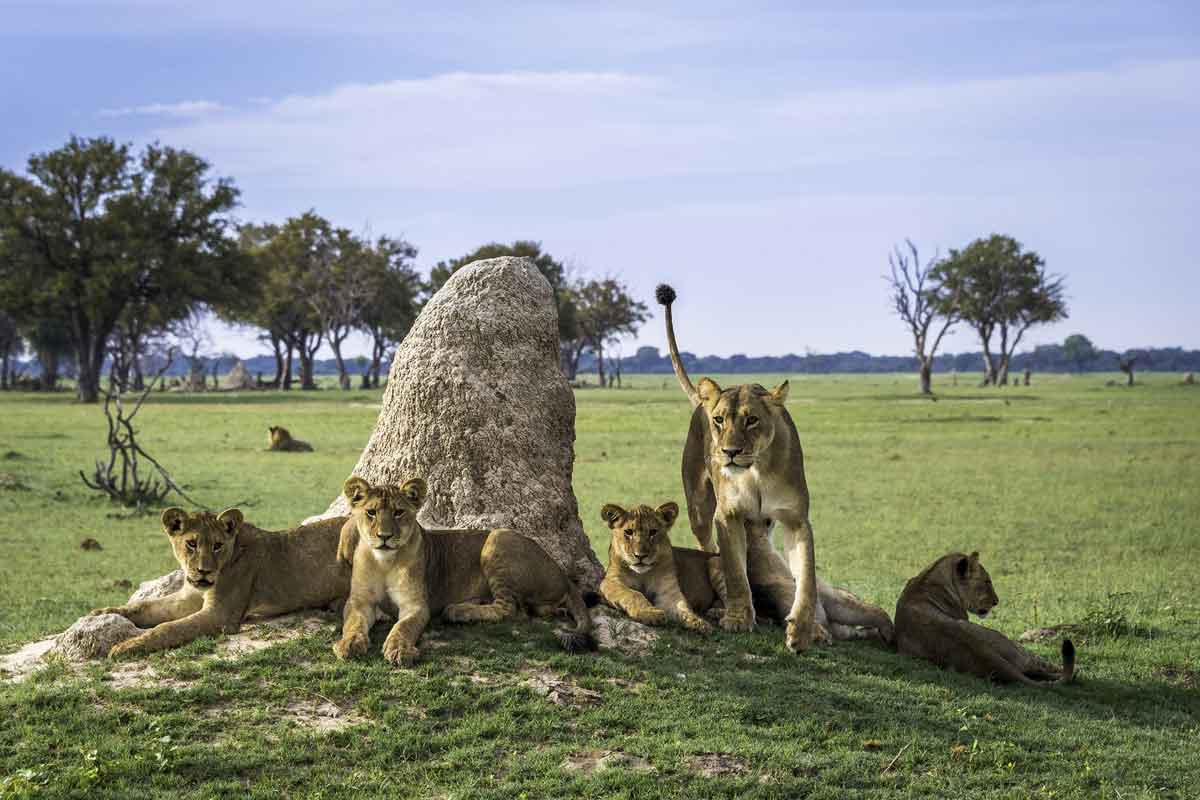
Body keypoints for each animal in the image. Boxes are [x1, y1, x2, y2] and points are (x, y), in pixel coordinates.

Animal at [600, 501, 892, 642]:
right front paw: (649, 613)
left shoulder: (670, 592)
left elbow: (682, 606)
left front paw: (697, 622)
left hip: (717, 565)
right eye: (628, 533)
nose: (640, 555)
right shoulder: (609, 584)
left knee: (745, 605)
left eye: (653, 532)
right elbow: (633, 595)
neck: (643, 572)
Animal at [657, 284, 825, 652]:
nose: (730, 452)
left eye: (751, 420)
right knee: (710, 549)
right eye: (720, 420)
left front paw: (805, 631)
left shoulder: (796, 520)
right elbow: (734, 571)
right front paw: (738, 618)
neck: (756, 471)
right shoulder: (727, 515)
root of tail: (702, 400)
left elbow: (806, 579)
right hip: (698, 508)